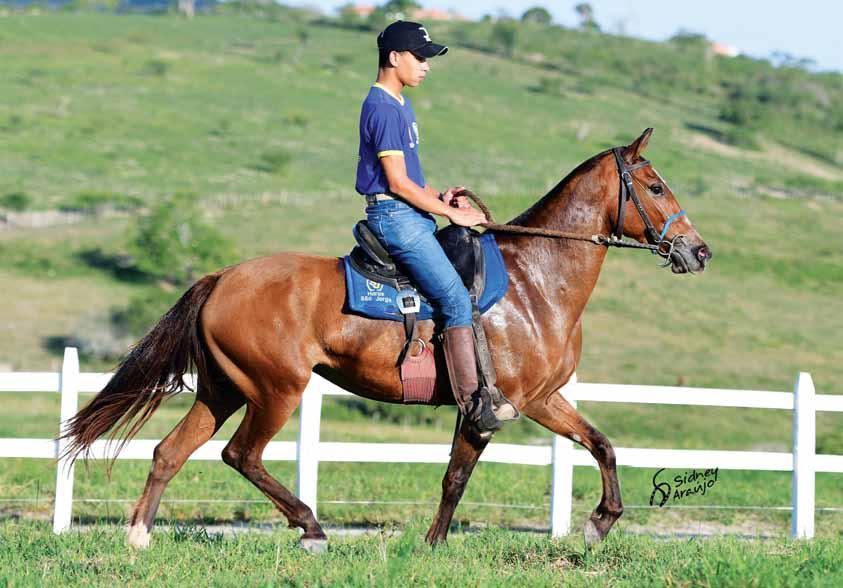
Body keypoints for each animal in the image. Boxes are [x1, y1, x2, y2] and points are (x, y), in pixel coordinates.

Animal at [66, 129, 708, 552]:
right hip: (275, 390)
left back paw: (139, 536)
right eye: (655, 186)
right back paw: (311, 528)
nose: (697, 251)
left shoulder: (541, 398)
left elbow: (601, 444)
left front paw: (601, 521)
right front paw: (432, 544)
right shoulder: (493, 406)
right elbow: (456, 476)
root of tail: (222, 277)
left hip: (222, 389)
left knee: (170, 452)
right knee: (240, 455)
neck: (536, 280)